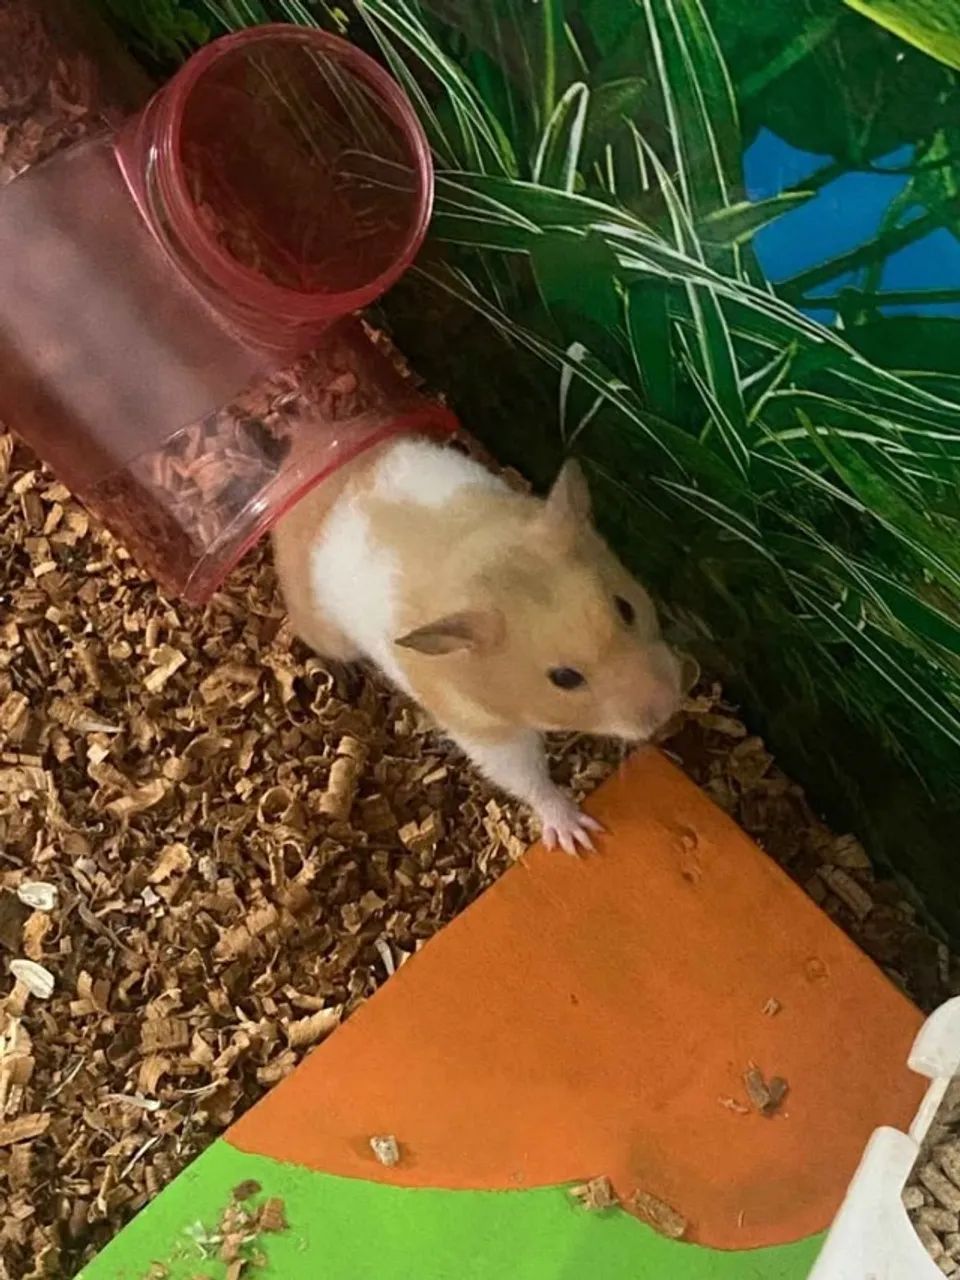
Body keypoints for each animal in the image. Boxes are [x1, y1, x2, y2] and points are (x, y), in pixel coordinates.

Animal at [272, 437, 687, 854]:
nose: (669, 704)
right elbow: (526, 776)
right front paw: (578, 836)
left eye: (626, 608)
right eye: (564, 678)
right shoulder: (481, 728)